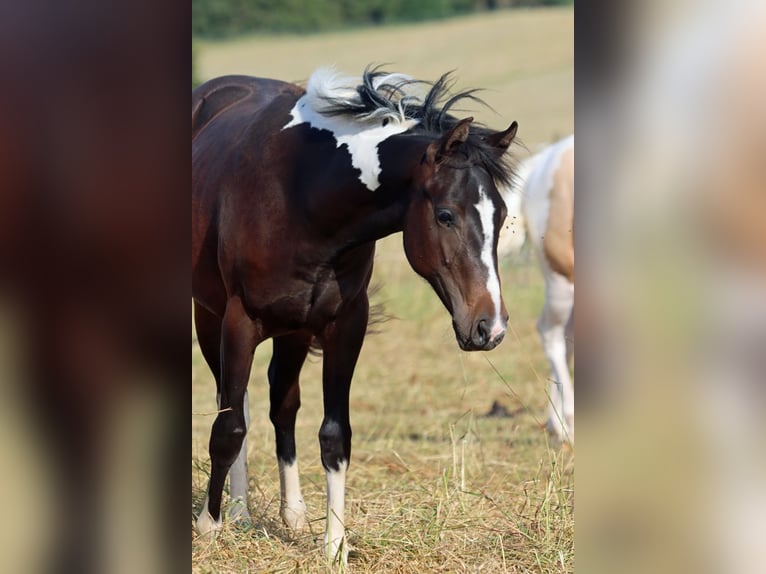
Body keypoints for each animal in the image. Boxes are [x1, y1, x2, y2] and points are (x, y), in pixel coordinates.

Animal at [192, 66, 518, 562]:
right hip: (210, 320)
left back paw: (291, 513)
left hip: (293, 332)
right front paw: (209, 526)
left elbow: (334, 435)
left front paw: (334, 544)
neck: (300, 191)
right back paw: (238, 512)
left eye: (499, 216)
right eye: (446, 215)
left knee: (282, 405)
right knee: (235, 403)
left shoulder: (345, 325)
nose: (490, 327)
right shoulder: (238, 320)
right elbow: (228, 426)